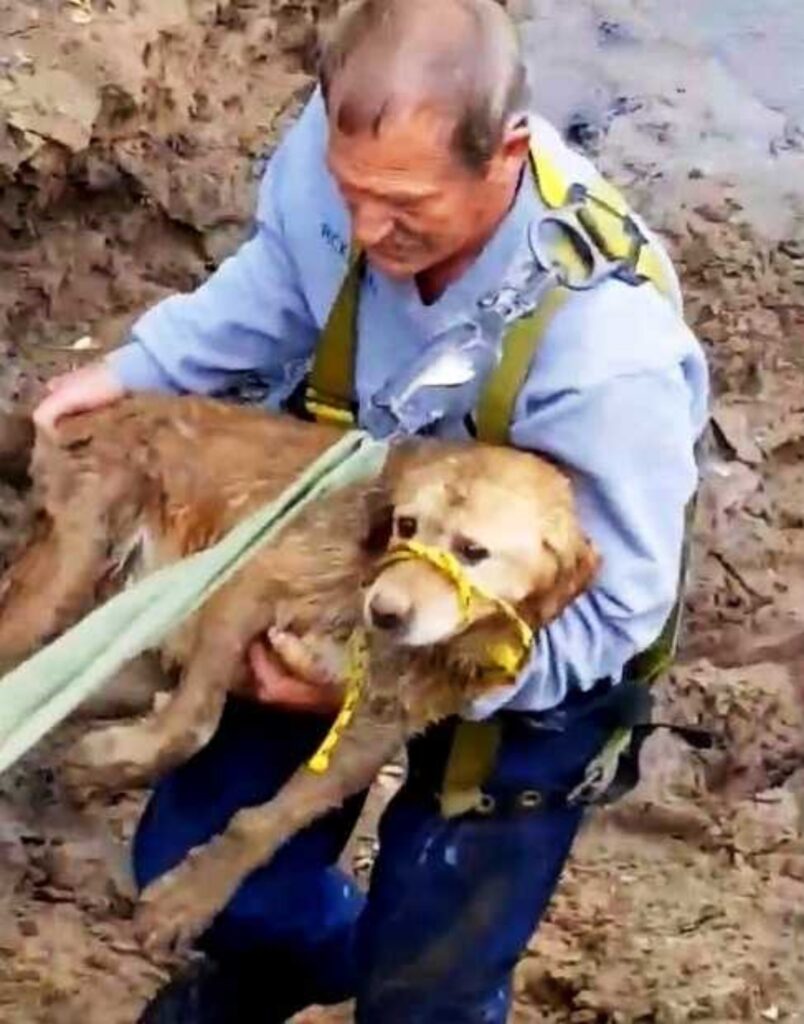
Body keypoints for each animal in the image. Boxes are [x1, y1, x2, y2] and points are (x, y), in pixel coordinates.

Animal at [0, 393, 594, 950]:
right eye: (406, 525)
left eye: (473, 551)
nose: (385, 611)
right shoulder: (249, 580)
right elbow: (194, 725)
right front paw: (109, 762)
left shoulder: (372, 732)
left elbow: (267, 823)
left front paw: (188, 900)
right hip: (64, 580)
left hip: (125, 655)